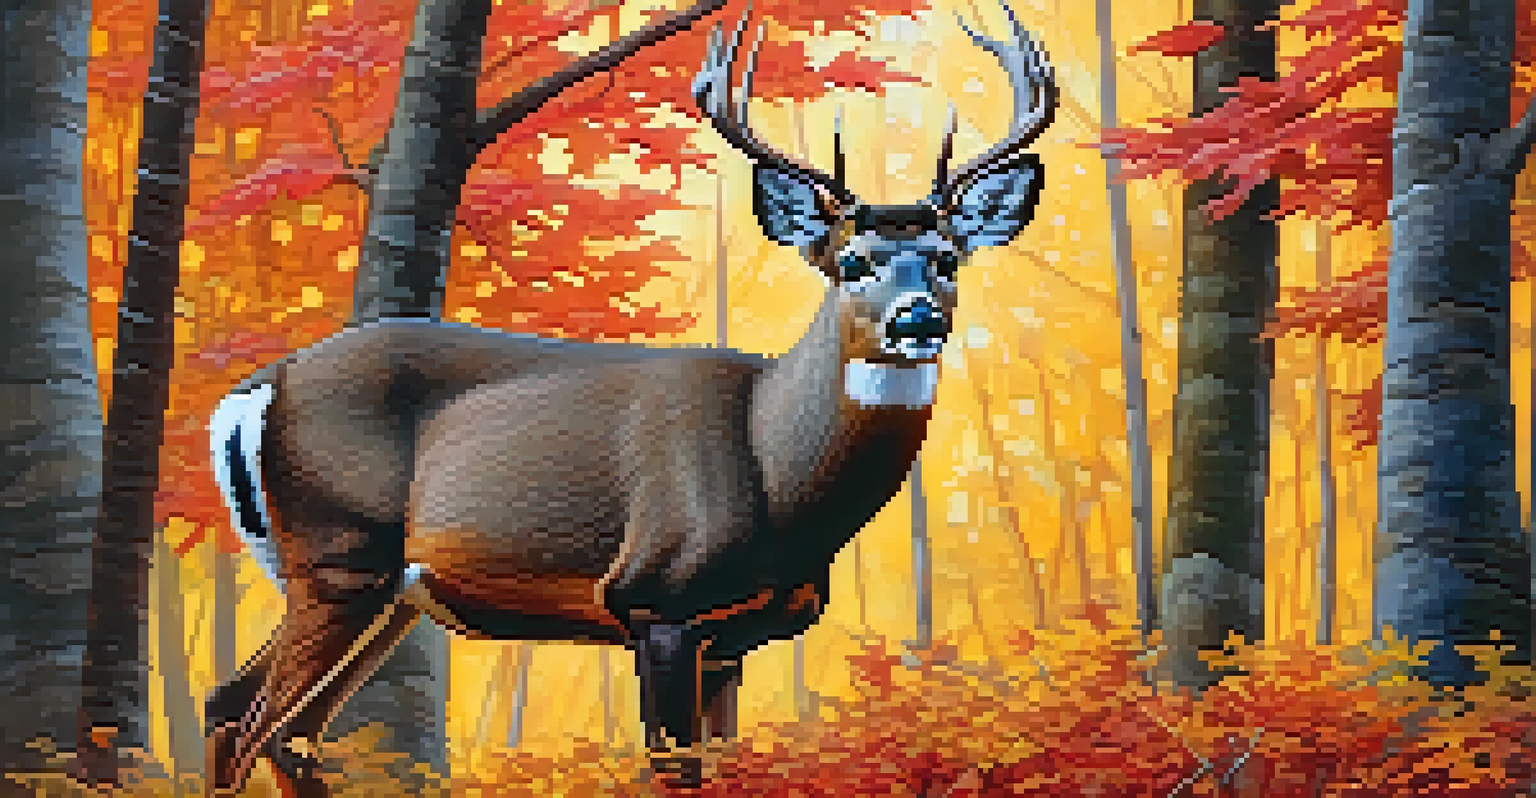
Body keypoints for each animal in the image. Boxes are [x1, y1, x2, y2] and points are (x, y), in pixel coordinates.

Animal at [201, 5, 1055, 795]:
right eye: (851, 261)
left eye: (947, 258)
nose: (919, 319)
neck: (776, 475)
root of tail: (256, 389)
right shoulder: (656, 602)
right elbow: (672, 770)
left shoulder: (732, 640)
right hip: (340, 553)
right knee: (251, 720)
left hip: (384, 590)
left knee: (258, 718)